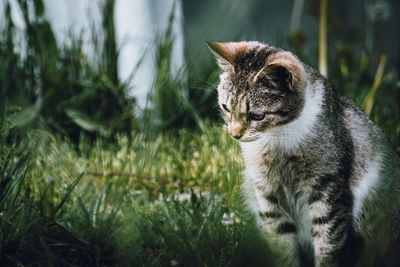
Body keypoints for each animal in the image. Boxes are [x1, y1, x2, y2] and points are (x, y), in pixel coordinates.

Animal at [208, 40, 400, 266]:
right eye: (226, 107)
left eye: (257, 115)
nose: (235, 135)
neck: (276, 140)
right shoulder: (267, 195)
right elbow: (282, 245)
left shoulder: (328, 190)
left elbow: (327, 243)